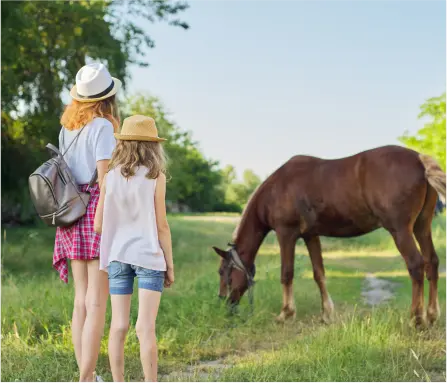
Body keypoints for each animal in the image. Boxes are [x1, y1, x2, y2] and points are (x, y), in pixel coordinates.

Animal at [214, 146, 447, 328]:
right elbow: (319, 274)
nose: (224, 303)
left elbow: (286, 273)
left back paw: (416, 319)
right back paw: (432, 315)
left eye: (223, 272)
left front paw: (285, 314)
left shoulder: (286, 234)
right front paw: (326, 314)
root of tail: (419, 159)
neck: (276, 190)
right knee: (432, 262)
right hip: (421, 227)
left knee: (416, 265)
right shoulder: (311, 236)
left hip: (400, 230)